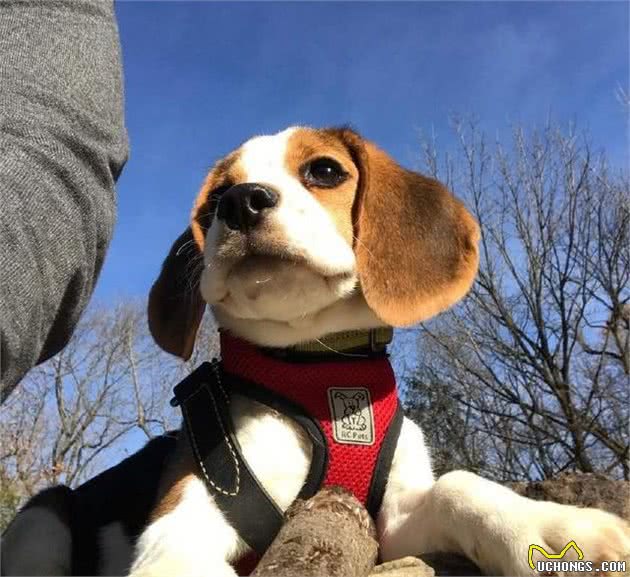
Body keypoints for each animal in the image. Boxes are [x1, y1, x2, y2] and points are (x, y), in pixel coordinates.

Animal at [4, 126, 630, 576]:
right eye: (213, 202)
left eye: (324, 170)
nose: (240, 202)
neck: (319, 366)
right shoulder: (182, 527)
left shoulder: (393, 524)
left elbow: (458, 486)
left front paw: (552, 532)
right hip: (41, 522)